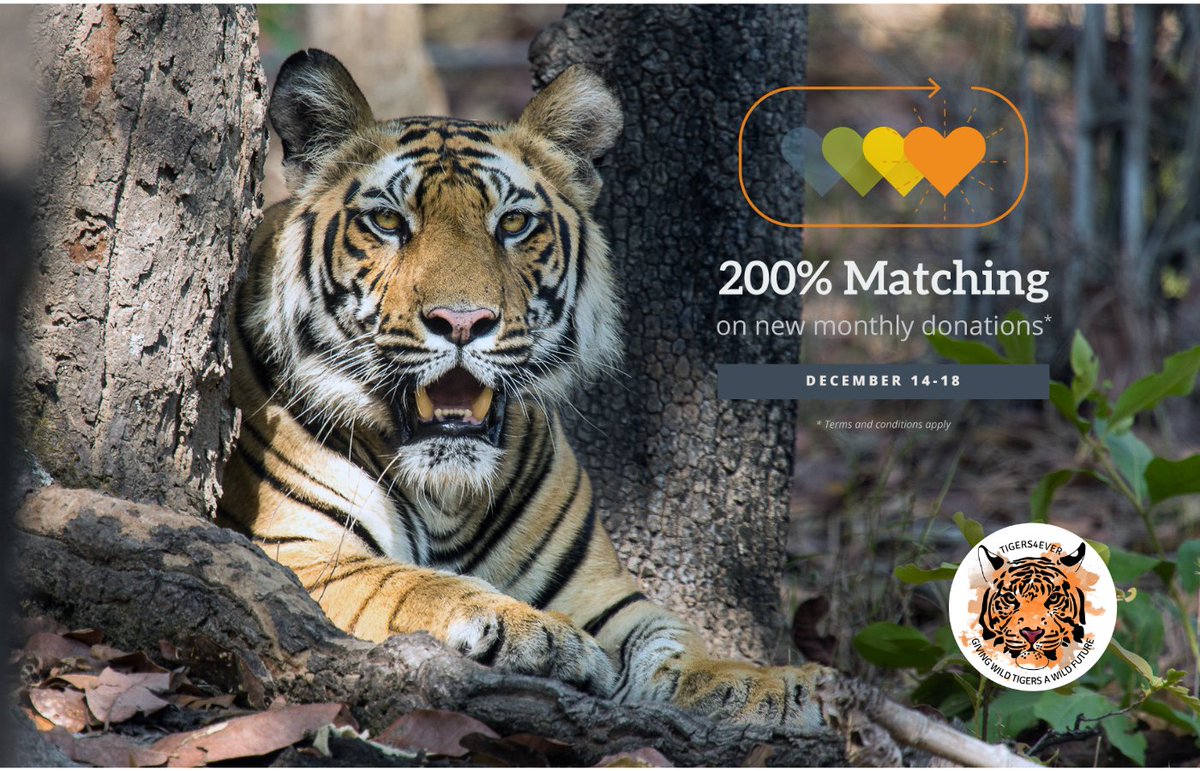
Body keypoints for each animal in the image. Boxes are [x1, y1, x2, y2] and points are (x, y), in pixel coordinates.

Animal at [218, 48, 828, 731]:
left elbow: (672, 639)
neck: (447, 496)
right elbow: (411, 582)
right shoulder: (296, 553)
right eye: (387, 221)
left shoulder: (602, 591)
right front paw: (536, 632)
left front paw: (771, 686)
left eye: (512, 223)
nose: (462, 321)